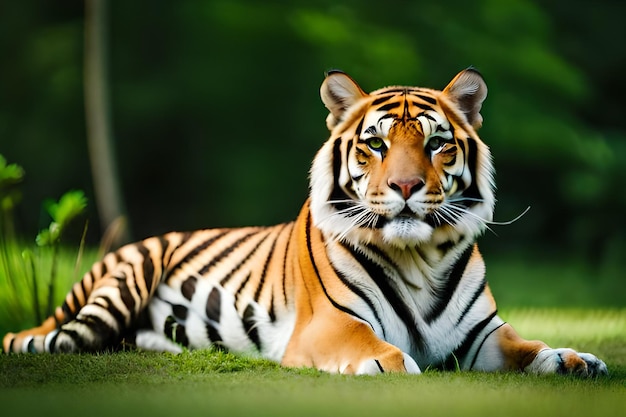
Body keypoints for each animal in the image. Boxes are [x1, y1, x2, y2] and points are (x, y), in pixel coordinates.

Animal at [1, 68, 604, 374]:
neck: (420, 260)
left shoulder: (482, 336)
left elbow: (529, 347)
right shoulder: (331, 323)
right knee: (44, 340)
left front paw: (574, 359)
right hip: (112, 296)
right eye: (376, 145)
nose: (406, 187)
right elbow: (379, 347)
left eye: (436, 144)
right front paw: (395, 366)